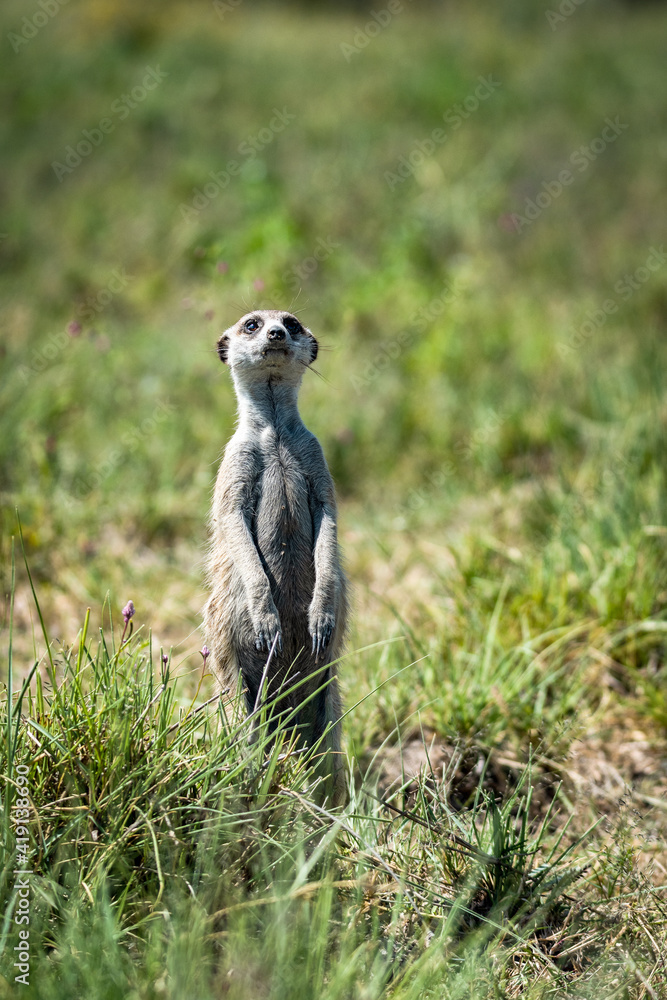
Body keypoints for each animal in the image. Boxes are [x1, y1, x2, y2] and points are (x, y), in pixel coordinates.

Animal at [203, 309, 347, 801]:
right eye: (251, 324)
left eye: (292, 321)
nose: (276, 333)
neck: (277, 435)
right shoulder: (235, 463)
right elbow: (233, 521)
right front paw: (266, 614)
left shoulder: (316, 457)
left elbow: (329, 518)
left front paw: (321, 611)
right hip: (234, 682)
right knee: (241, 731)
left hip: (329, 702)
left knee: (328, 758)